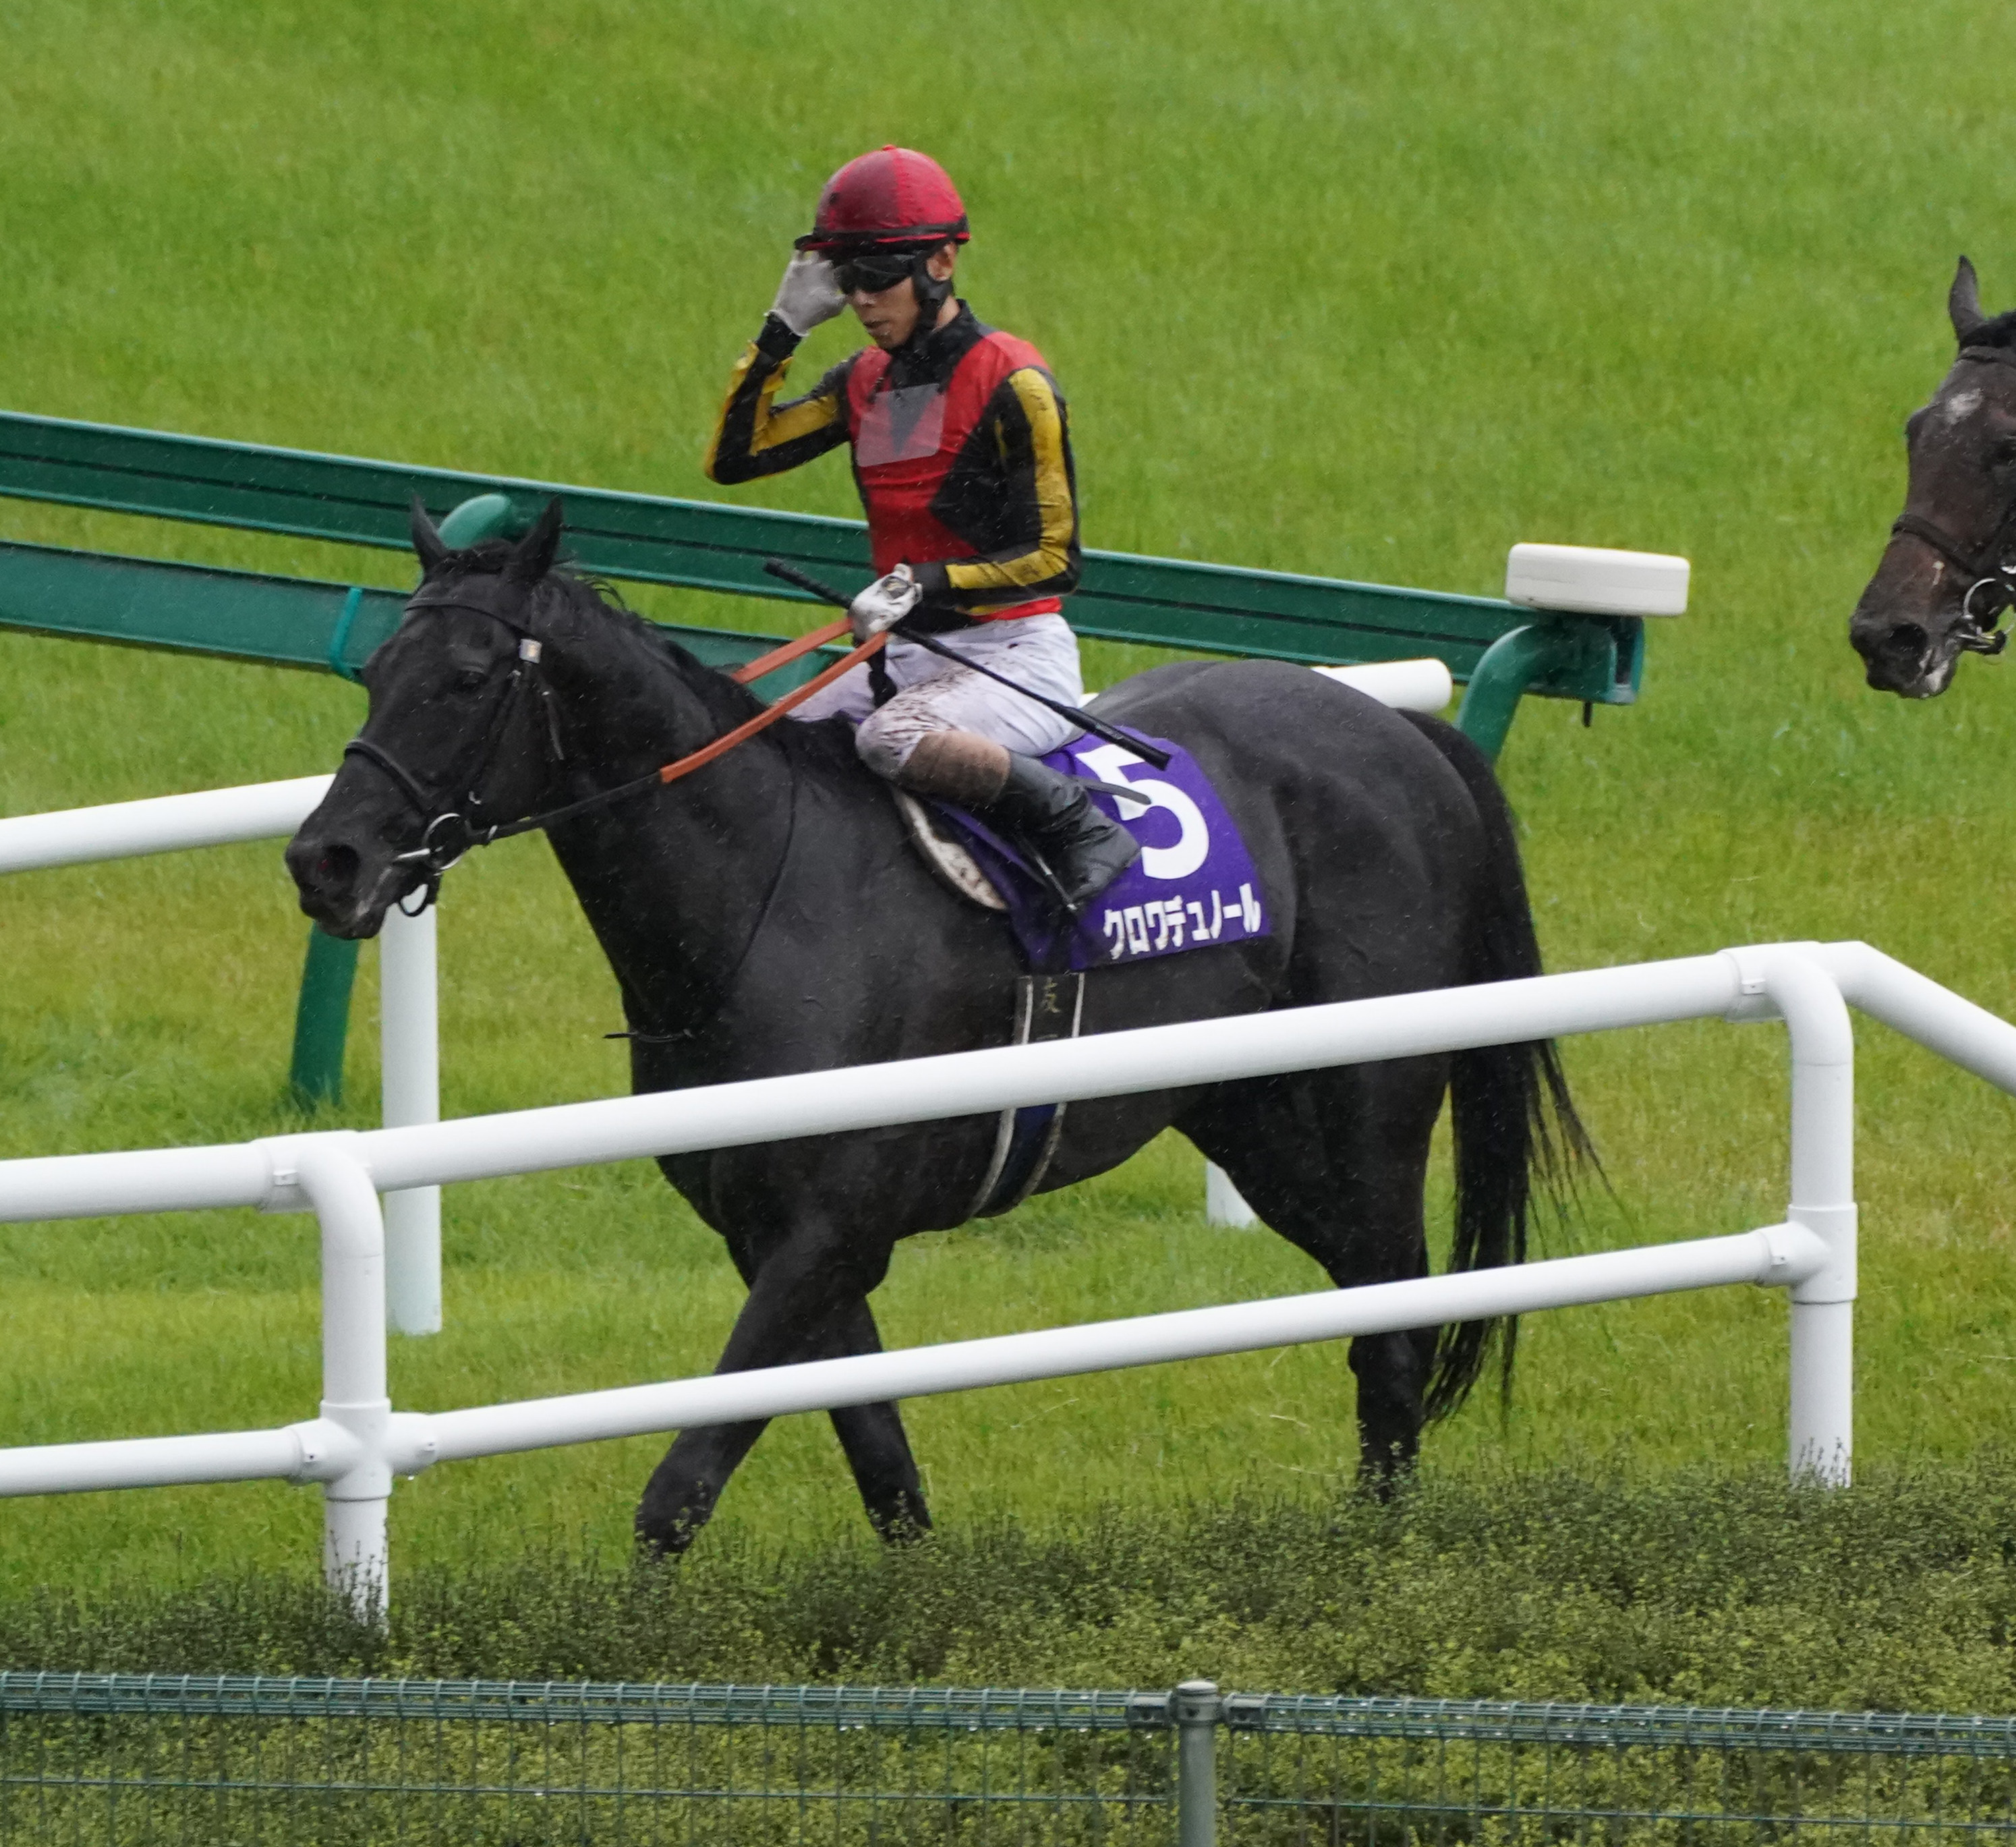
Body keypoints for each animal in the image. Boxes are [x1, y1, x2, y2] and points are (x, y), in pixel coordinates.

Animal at [285, 500, 1587, 1554]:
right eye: (374, 668)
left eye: (466, 676)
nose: (325, 859)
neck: (761, 896)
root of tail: (1402, 734)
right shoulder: (776, 1236)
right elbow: (882, 1464)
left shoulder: (828, 1229)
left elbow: (680, 1488)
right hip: (1255, 1121)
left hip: (1364, 1103)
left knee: (1393, 1324)